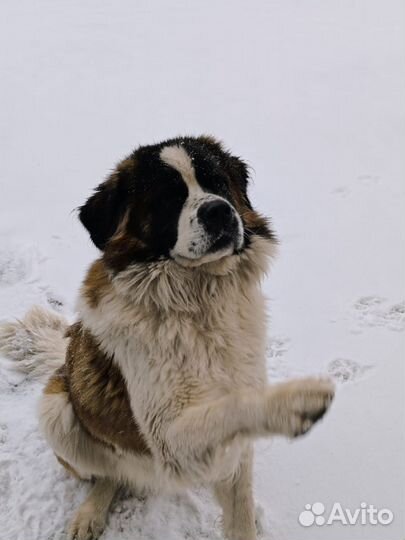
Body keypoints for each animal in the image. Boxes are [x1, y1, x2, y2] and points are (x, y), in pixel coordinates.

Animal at [0, 136, 332, 540]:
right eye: (169, 198)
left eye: (218, 183)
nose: (218, 212)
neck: (199, 301)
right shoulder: (167, 438)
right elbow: (231, 406)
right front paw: (296, 402)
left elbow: (239, 511)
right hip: (57, 410)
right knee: (110, 474)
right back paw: (90, 512)